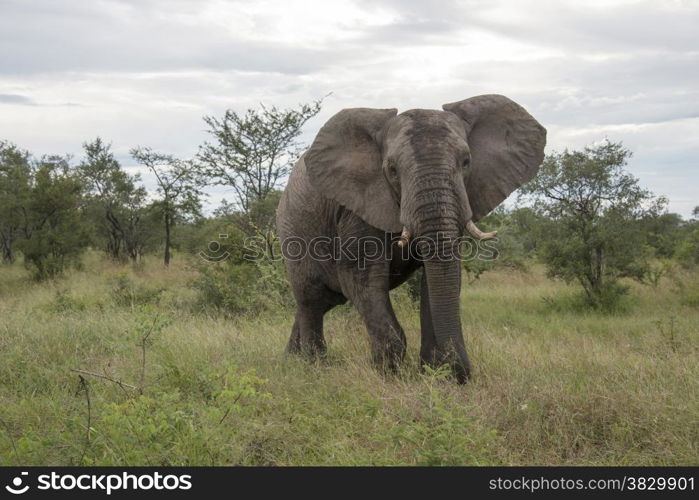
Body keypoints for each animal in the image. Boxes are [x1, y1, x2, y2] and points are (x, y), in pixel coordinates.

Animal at [278, 94, 548, 382]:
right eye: (392, 169)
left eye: (466, 162)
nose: (462, 375)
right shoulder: (358, 205)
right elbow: (362, 277)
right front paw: (388, 375)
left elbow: (438, 277)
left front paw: (433, 373)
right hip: (293, 230)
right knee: (311, 298)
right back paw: (313, 366)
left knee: (320, 302)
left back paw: (291, 360)